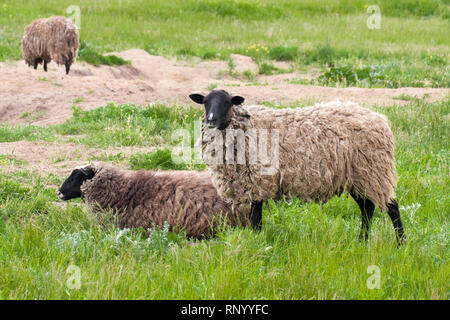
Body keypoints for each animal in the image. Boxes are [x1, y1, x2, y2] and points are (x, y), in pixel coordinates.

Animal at [188, 89, 406, 244]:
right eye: (205, 102)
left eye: (227, 102)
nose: (211, 120)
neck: (247, 127)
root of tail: (380, 120)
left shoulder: (258, 181)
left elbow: (256, 218)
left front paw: (256, 242)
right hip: (359, 176)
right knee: (367, 208)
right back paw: (362, 241)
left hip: (375, 170)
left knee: (391, 207)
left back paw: (400, 244)